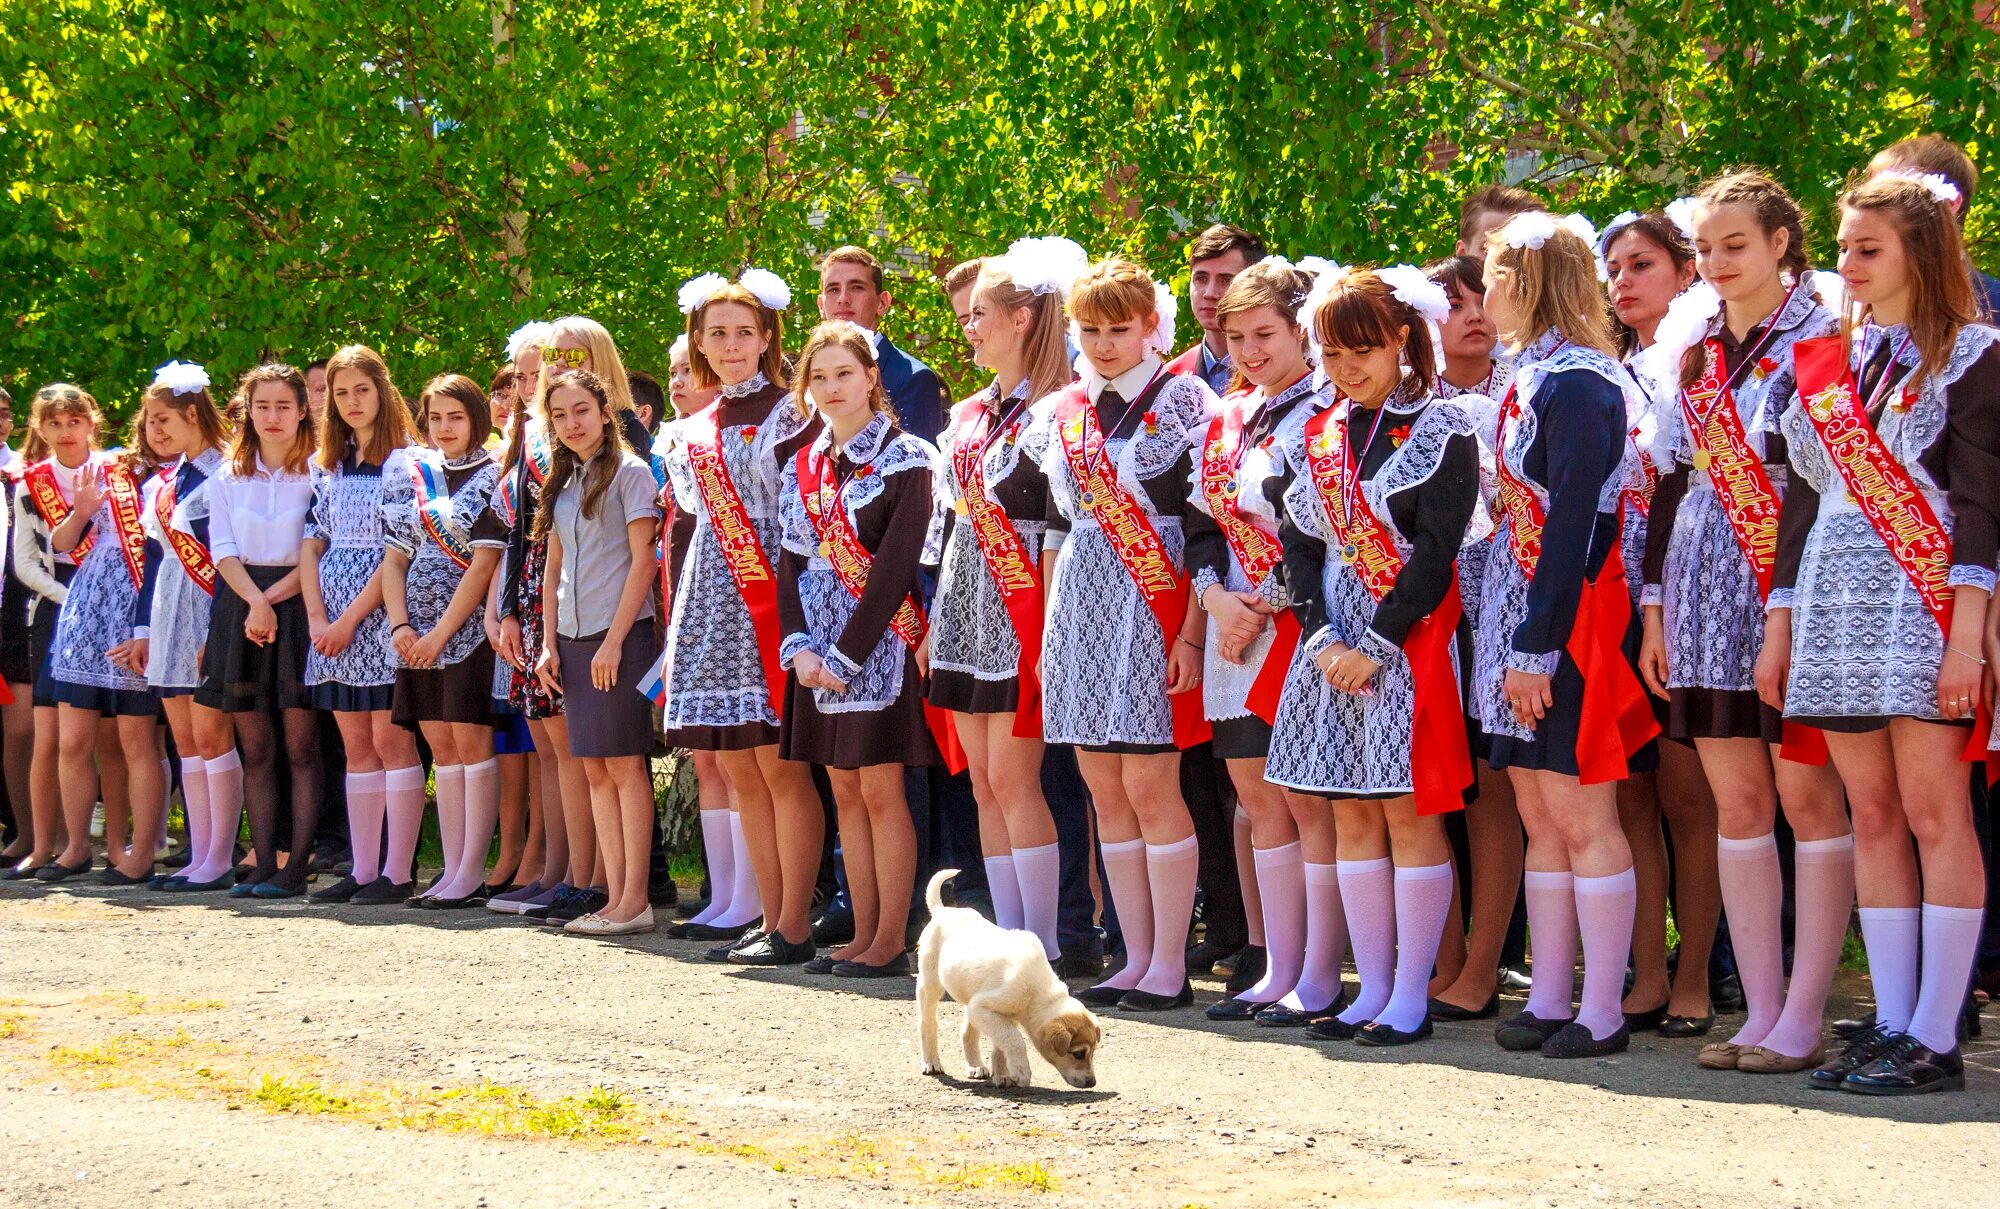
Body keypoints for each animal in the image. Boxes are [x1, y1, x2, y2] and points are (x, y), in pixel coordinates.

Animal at [916, 868, 1104, 1088]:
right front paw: (1021, 1071)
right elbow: (1014, 1039)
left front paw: (1004, 1075)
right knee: (927, 1024)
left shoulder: (997, 1015)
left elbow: (1001, 1044)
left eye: (1092, 1053)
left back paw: (975, 1066)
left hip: (970, 999)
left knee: (967, 1032)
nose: (1092, 1082)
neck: (1037, 989)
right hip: (930, 985)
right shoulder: (985, 1007)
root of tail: (943, 912)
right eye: (1078, 1054)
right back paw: (931, 1062)